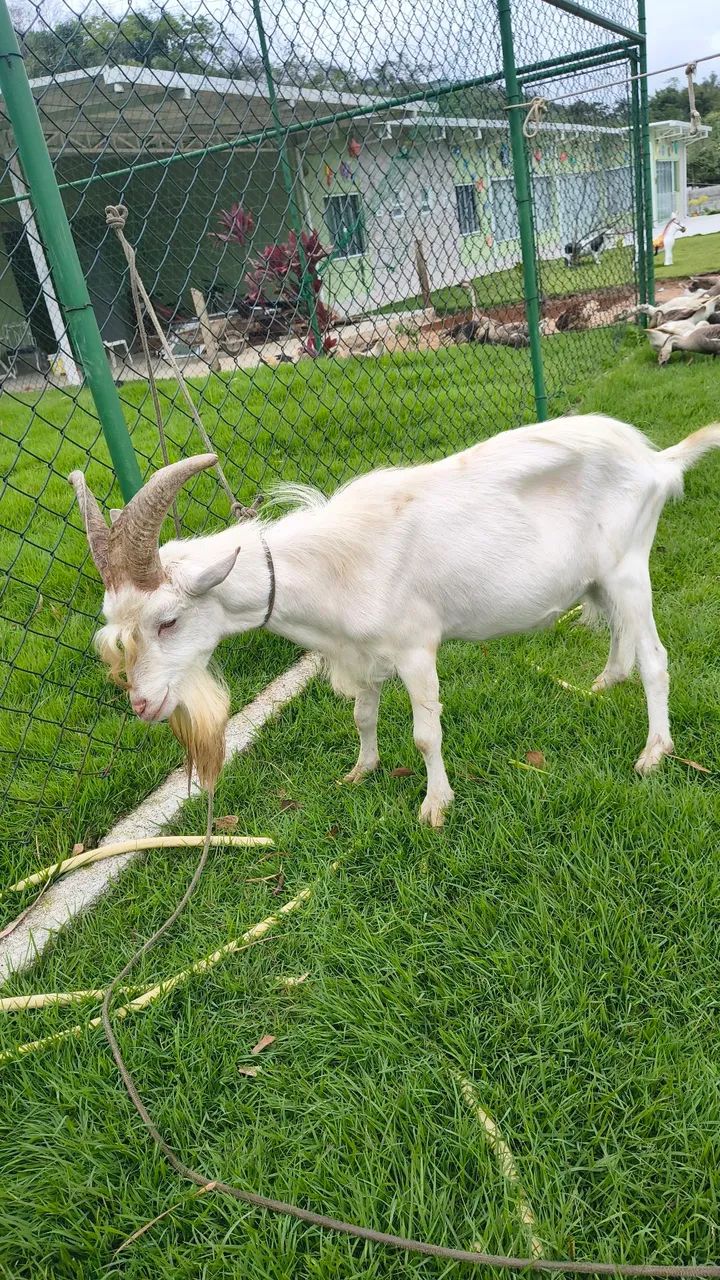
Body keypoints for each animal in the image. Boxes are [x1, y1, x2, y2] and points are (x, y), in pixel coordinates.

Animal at [71, 417, 720, 826]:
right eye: (114, 627)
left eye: (168, 621)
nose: (142, 705)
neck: (334, 567)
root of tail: (655, 462)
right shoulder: (364, 651)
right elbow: (362, 715)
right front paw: (361, 771)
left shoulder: (415, 649)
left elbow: (427, 733)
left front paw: (435, 806)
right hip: (598, 579)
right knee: (621, 635)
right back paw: (606, 681)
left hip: (629, 567)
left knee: (656, 658)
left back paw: (654, 751)